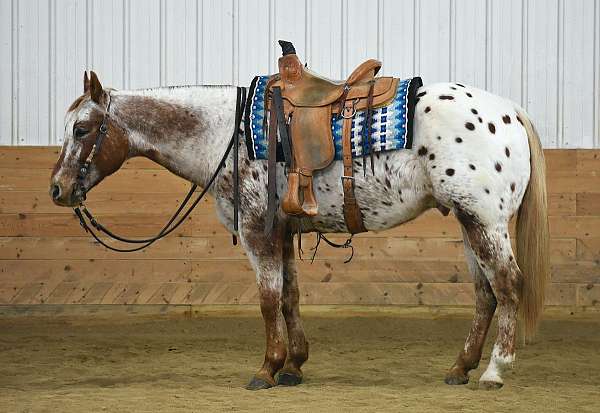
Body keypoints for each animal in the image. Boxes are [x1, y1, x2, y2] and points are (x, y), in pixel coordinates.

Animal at [50, 70, 548, 390]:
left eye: (82, 129)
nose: (58, 189)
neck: (225, 135)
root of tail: (510, 111)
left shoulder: (258, 232)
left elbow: (268, 301)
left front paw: (267, 370)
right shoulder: (284, 233)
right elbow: (289, 296)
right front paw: (294, 366)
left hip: (484, 220)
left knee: (508, 284)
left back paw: (494, 372)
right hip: (468, 221)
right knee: (485, 294)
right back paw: (460, 368)